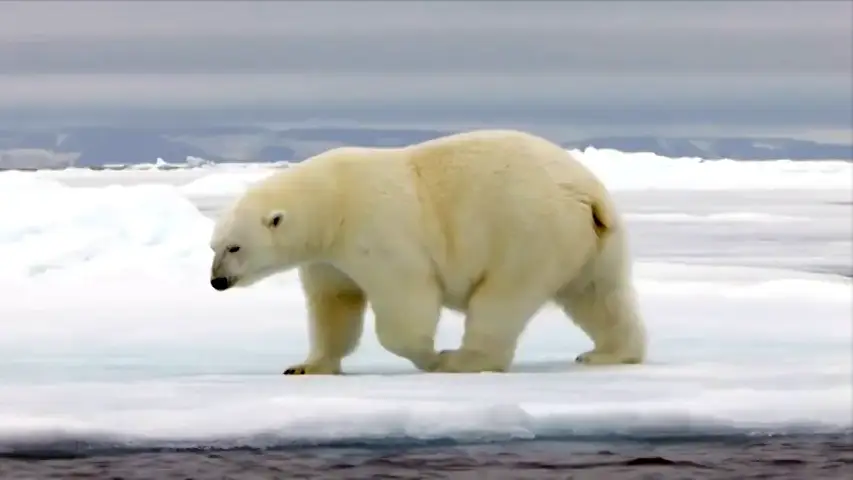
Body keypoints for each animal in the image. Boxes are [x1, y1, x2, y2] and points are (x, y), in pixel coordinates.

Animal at [209, 129, 647, 375]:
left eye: (235, 246)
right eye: (213, 245)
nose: (217, 281)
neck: (332, 202)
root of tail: (586, 194)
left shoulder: (377, 229)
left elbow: (406, 299)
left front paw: (429, 356)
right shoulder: (326, 257)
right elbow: (335, 304)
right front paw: (305, 366)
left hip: (529, 232)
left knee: (502, 299)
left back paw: (461, 360)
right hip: (592, 240)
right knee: (598, 295)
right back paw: (608, 353)